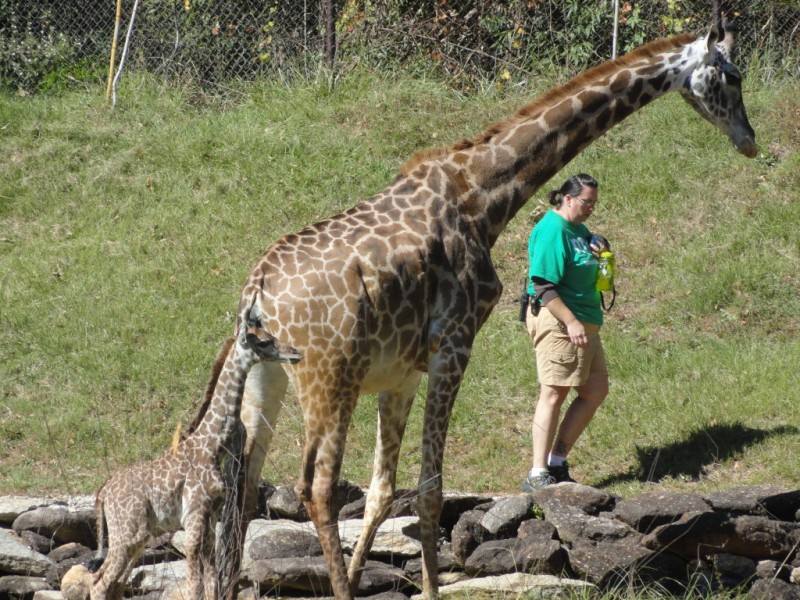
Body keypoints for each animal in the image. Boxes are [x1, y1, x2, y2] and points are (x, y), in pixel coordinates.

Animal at [88, 310, 300, 600]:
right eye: (265, 341)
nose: (295, 353)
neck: (211, 446)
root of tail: (103, 492)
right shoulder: (194, 519)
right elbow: (194, 586)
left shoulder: (210, 521)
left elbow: (212, 584)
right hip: (129, 533)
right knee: (100, 582)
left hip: (136, 536)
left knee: (111, 582)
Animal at [227, 5, 756, 600]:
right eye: (733, 77)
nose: (750, 140)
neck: (484, 197)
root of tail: (258, 289)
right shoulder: (454, 343)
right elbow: (429, 489)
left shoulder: (401, 371)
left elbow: (384, 491)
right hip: (328, 376)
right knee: (314, 486)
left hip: (267, 376)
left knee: (245, 484)